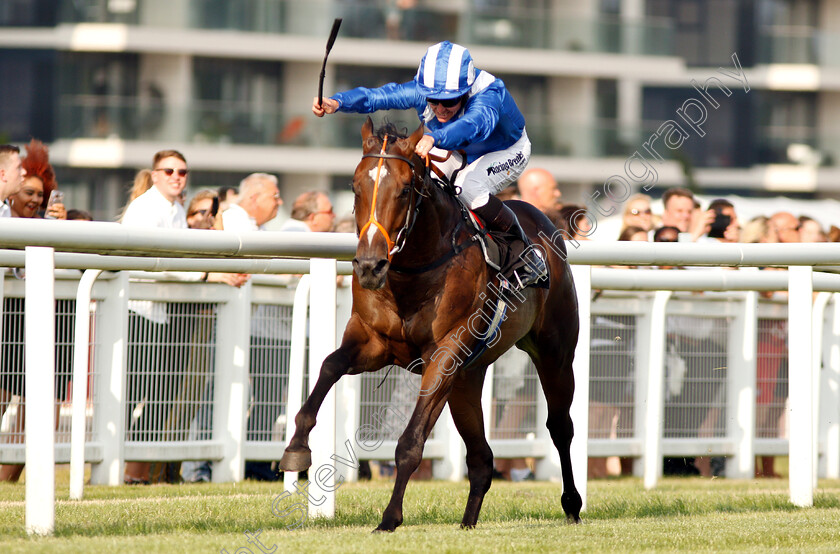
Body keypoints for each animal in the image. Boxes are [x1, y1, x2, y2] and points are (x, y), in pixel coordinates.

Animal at [278, 118, 580, 528]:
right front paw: (296, 448)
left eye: (405, 190)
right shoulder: (372, 341)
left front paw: (389, 518)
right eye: (355, 187)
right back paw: (467, 523)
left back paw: (572, 504)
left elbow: (410, 442)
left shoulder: (445, 353)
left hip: (554, 353)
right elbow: (329, 365)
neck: (413, 270)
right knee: (482, 458)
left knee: (560, 427)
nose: (370, 266)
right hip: (468, 378)